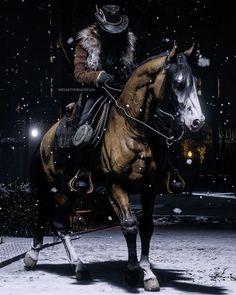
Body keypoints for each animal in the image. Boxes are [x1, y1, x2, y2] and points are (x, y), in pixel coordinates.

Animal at [24, 44, 205, 292]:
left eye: (195, 82)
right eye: (177, 83)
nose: (198, 121)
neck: (134, 129)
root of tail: (45, 138)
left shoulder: (150, 188)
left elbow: (146, 226)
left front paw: (147, 273)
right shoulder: (116, 185)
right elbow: (129, 225)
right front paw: (132, 272)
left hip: (70, 192)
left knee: (53, 221)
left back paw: (50, 259)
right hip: (53, 189)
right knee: (54, 221)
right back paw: (66, 263)